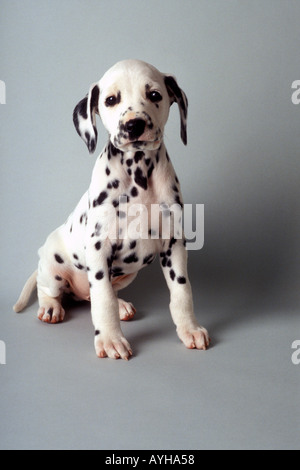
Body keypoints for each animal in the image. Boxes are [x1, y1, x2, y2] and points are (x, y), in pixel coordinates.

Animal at [14, 58, 210, 360]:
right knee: (52, 290)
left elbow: (182, 291)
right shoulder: (99, 247)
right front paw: (109, 339)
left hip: (128, 274)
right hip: (52, 267)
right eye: (110, 100)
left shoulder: (174, 244)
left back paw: (121, 305)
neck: (138, 175)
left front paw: (189, 328)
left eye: (154, 94)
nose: (134, 124)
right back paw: (50, 307)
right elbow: (102, 299)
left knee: (95, 295)